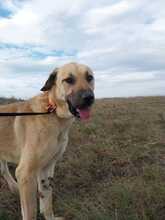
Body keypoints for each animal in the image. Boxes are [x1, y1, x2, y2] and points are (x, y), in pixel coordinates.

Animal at [0, 62, 94, 220]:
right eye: (69, 80)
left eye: (89, 78)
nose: (89, 98)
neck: (53, 112)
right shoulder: (25, 173)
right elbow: (30, 212)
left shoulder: (47, 167)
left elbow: (47, 200)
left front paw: (49, 216)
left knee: (3, 168)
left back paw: (14, 187)